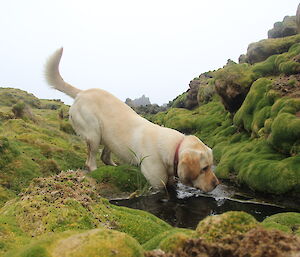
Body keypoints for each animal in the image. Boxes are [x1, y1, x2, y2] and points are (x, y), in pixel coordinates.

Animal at [44, 48, 218, 192]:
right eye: (204, 168)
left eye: (211, 166)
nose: (216, 184)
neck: (172, 148)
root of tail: (82, 92)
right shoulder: (157, 183)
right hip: (94, 134)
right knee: (91, 160)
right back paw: (95, 169)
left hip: (109, 137)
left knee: (105, 157)